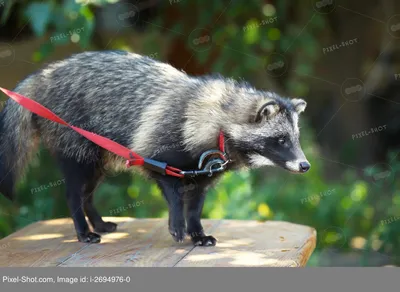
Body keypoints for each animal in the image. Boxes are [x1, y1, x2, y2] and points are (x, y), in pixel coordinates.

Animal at [0, 51, 310, 245]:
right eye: (281, 139)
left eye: (295, 138)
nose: (305, 165)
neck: (218, 120)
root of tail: (45, 74)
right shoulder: (156, 149)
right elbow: (172, 194)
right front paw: (177, 223)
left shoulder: (203, 173)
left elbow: (195, 206)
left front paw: (196, 231)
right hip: (78, 148)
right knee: (75, 193)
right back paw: (82, 227)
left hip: (100, 157)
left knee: (88, 193)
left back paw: (96, 221)